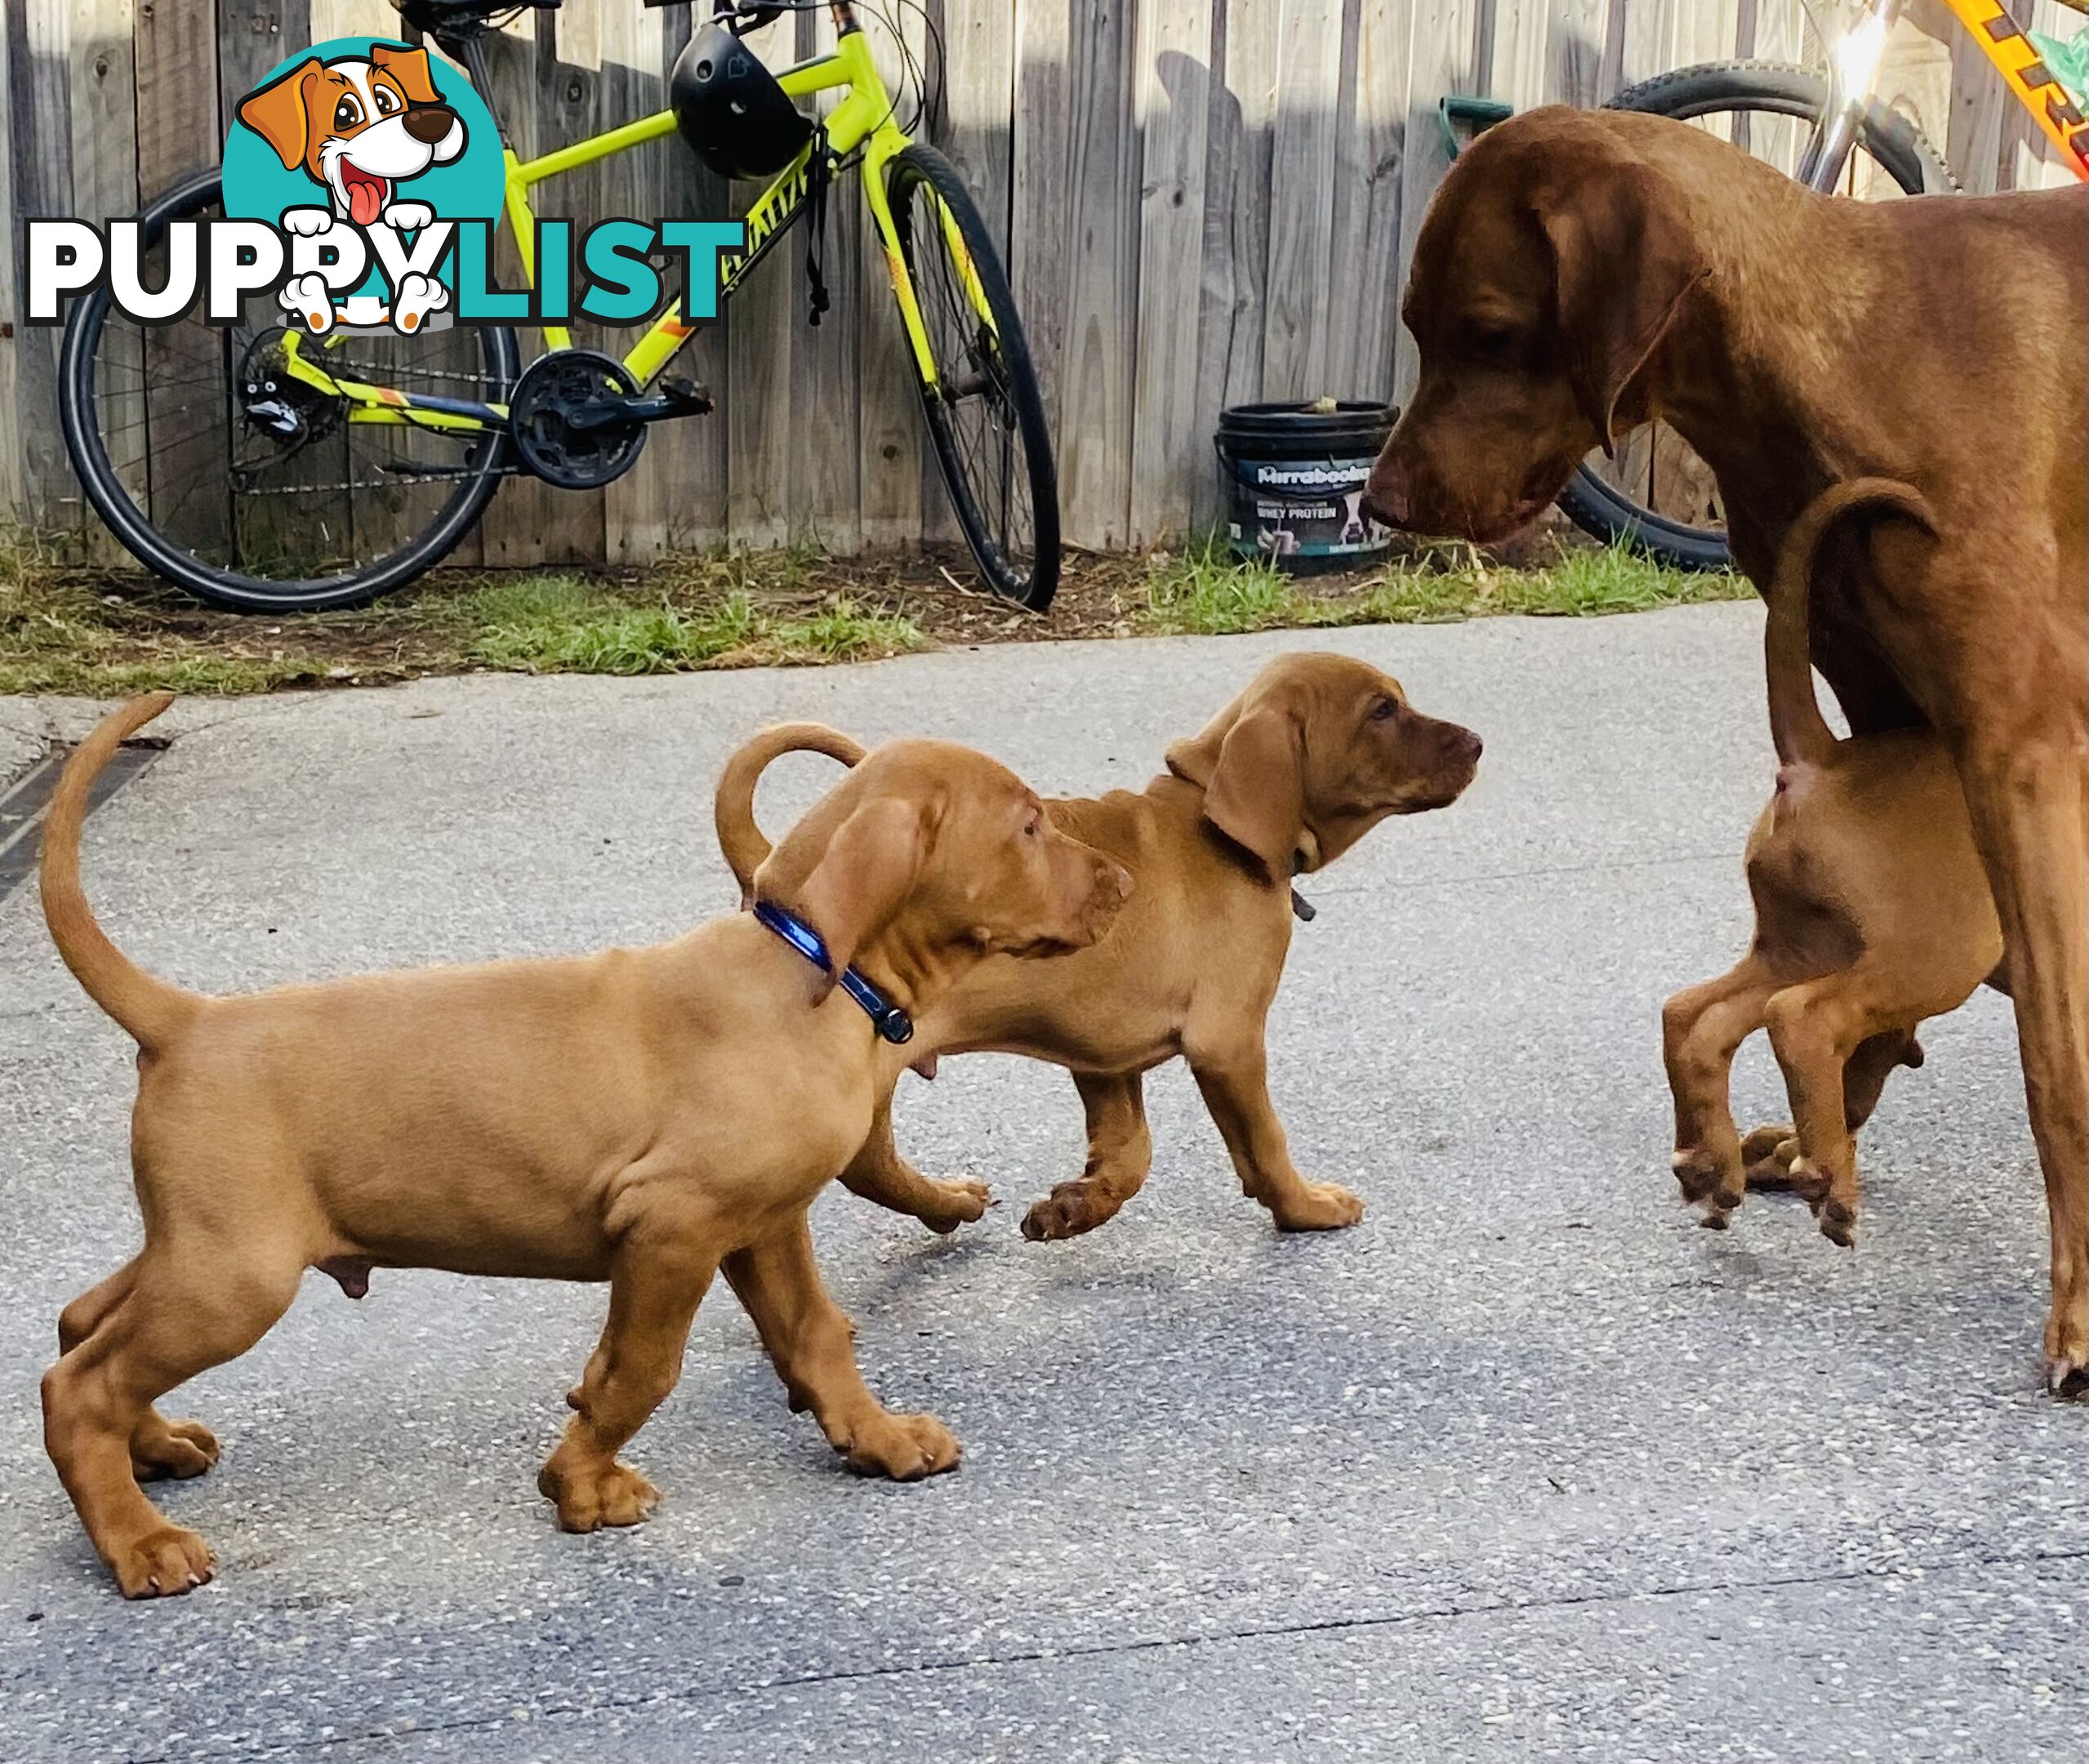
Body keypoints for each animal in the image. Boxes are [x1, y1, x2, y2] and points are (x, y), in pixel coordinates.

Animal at [37, 693, 1128, 1597]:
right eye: (1028, 825)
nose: (1120, 881)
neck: (802, 968)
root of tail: (186, 1021)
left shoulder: (762, 1222)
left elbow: (817, 1335)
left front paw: (878, 1440)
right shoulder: (671, 1228)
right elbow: (638, 1369)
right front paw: (581, 1487)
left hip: (204, 1243)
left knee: (82, 1323)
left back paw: (154, 1452)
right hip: (236, 1273)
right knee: (80, 1383)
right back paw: (139, 1544)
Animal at [718, 656, 1487, 1245]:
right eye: (1382, 711)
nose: (1479, 743)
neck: (1215, 829)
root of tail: (771, 871)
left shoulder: (1101, 1050)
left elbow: (1129, 1151)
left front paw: (1077, 1207)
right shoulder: (1228, 1040)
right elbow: (1265, 1142)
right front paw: (1307, 1208)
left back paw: (951, 1204)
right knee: (868, 1168)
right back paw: (947, 1203)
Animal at [1654, 479, 1997, 1237]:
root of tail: (1822, 761)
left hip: (1804, 944)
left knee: (1696, 1015)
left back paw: (1715, 1167)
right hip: (1938, 950)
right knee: (1805, 1021)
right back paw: (1827, 1184)